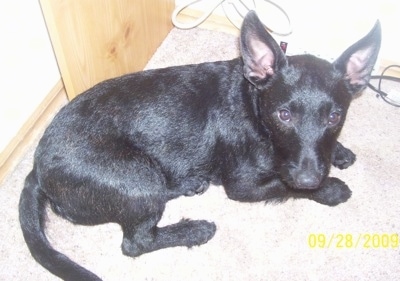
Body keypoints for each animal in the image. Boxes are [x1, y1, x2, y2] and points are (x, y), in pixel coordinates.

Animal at [19, 11, 382, 280]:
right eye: (284, 115)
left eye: (335, 117)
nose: (310, 178)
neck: (254, 107)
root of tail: (36, 169)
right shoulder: (243, 185)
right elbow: (285, 184)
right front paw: (330, 189)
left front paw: (338, 152)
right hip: (137, 176)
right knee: (136, 242)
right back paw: (194, 230)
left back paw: (188, 184)